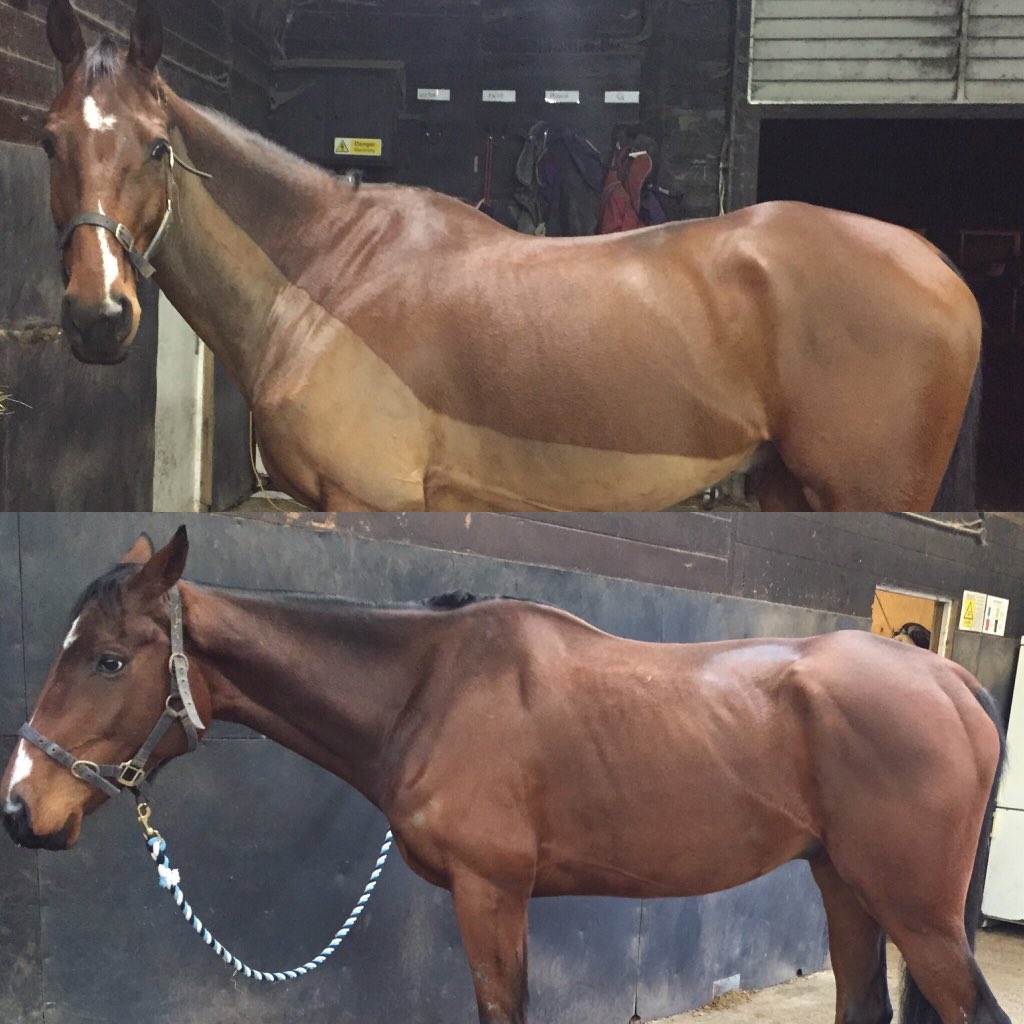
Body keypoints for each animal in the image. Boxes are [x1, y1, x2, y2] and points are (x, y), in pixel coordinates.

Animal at [1, 527, 1011, 1024]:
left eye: (107, 661)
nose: (20, 805)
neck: (432, 688)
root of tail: (950, 680)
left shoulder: (491, 895)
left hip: (915, 912)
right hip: (846, 886)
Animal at [39, 0, 982, 513]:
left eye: (157, 146)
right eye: (49, 141)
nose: (98, 316)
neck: (326, 277)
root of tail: (938, 267)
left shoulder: (371, 501)